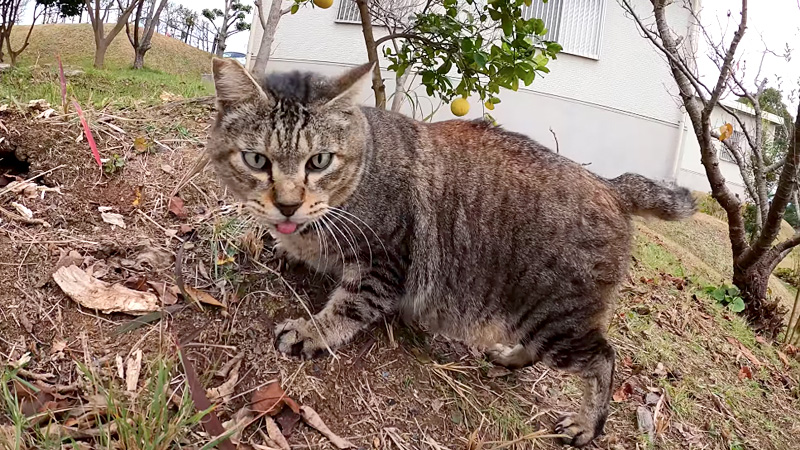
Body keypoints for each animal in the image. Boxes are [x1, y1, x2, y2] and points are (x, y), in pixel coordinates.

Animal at [209, 59, 696, 446]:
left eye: (319, 162)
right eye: (257, 160)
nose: (288, 203)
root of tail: (611, 185)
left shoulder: (384, 262)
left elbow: (349, 307)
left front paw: (312, 331)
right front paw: (283, 244)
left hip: (555, 317)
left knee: (602, 358)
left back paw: (587, 423)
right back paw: (510, 356)